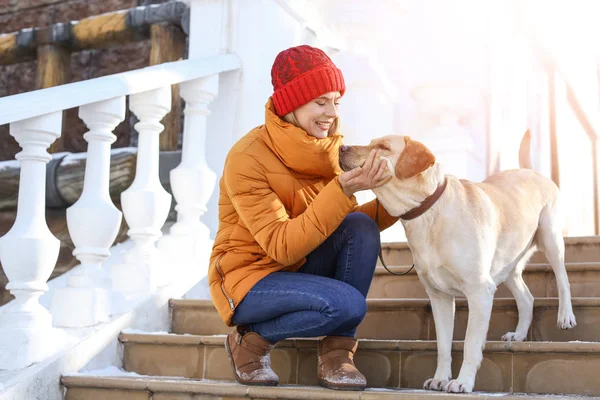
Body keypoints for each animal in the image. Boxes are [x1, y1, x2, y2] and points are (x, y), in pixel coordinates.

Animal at [338, 134, 576, 394]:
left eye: (382, 147)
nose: (341, 147)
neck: (426, 210)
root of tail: (530, 171)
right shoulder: (439, 297)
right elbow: (443, 346)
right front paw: (440, 378)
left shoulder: (480, 291)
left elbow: (471, 344)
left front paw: (463, 382)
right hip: (505, 264)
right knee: (526, 298)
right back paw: (520, 334)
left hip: (550, 237)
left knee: (562, 279)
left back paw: (565, 316)